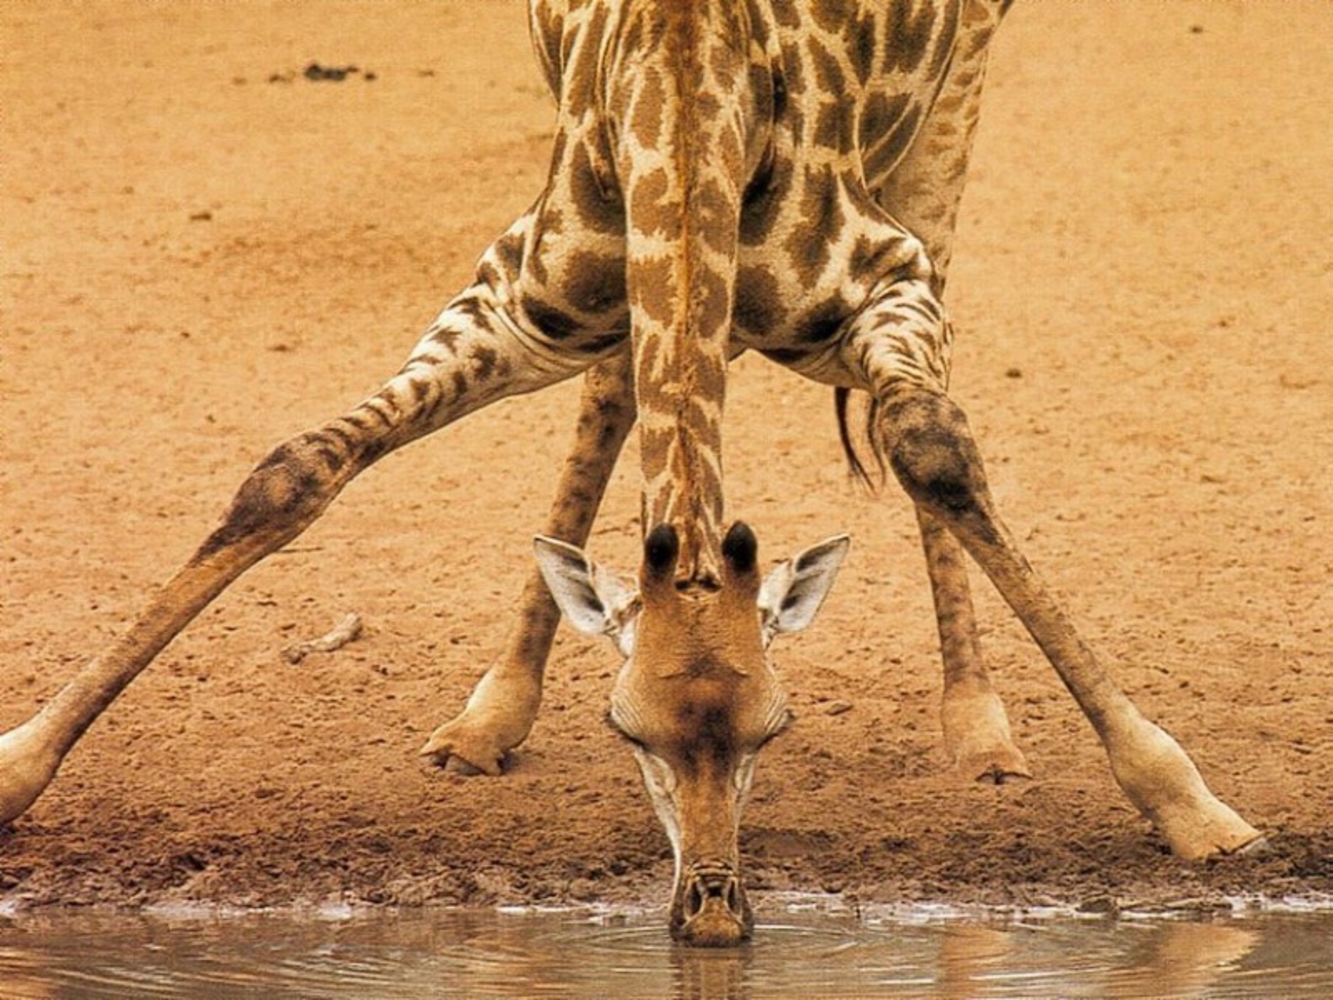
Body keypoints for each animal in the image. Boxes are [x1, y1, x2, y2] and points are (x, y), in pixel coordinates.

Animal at [0, 0, 1258, 949]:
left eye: (775, 729)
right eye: (626, 730)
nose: (712, 914)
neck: (686, 95)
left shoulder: (881, 278)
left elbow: (933, 448)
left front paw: (1190, 804)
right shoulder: (515, 299)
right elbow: (295, 469)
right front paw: (20, 765)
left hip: (954, 98)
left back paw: (980, 726)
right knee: (618, 389)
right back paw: (488, 714)